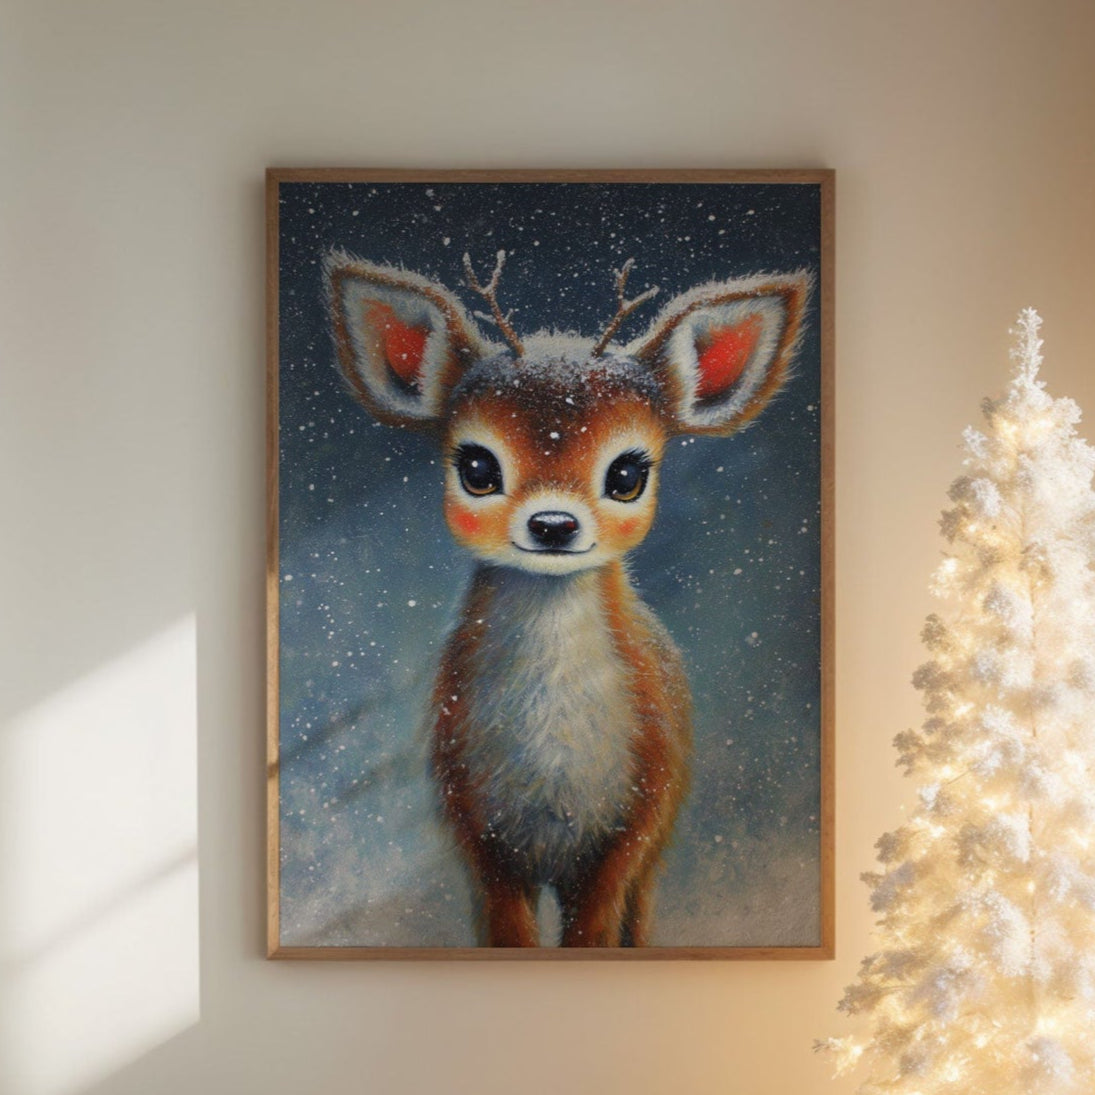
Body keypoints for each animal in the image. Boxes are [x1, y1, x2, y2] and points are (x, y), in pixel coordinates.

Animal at [325, 249, 811, 947]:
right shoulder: (475, 830)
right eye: (477, 467)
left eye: (627, 473)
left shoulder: (632, 824)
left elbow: (595, 931)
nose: (553, 524)